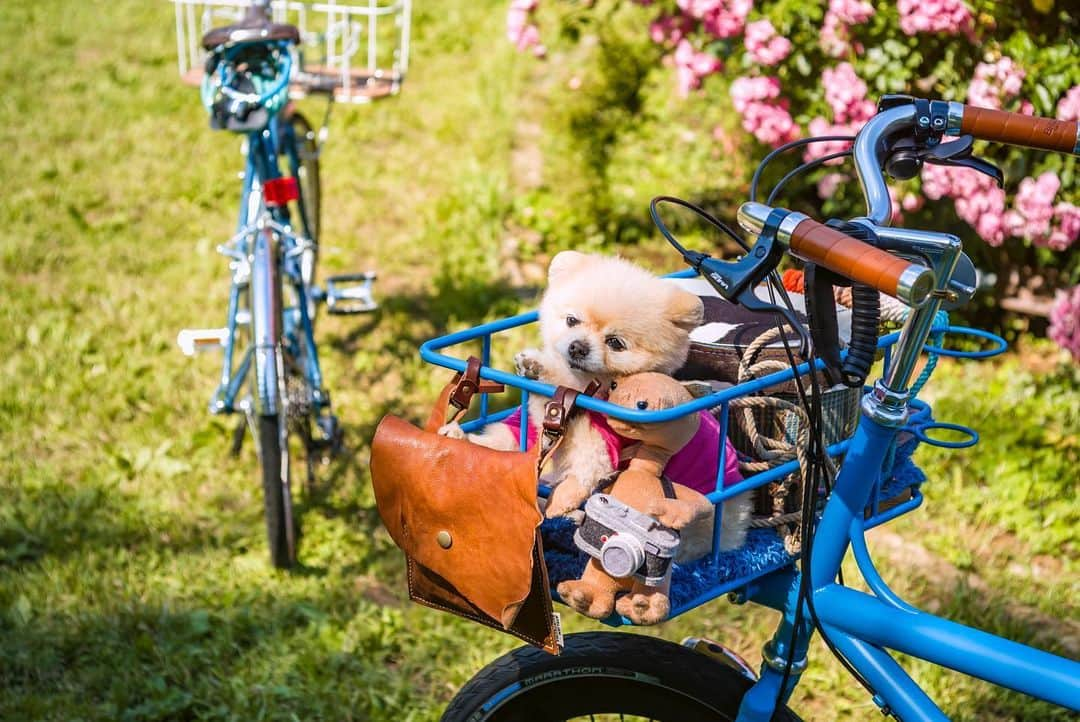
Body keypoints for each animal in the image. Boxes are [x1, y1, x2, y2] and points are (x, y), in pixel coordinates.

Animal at [440, 249, 708, 518]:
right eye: (572, 321)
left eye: (615, 343)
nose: (578, 347)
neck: (581, 388)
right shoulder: (528, 428)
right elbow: (498, 447)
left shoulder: (604, 442)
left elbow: (587, 460)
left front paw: (563, 498)